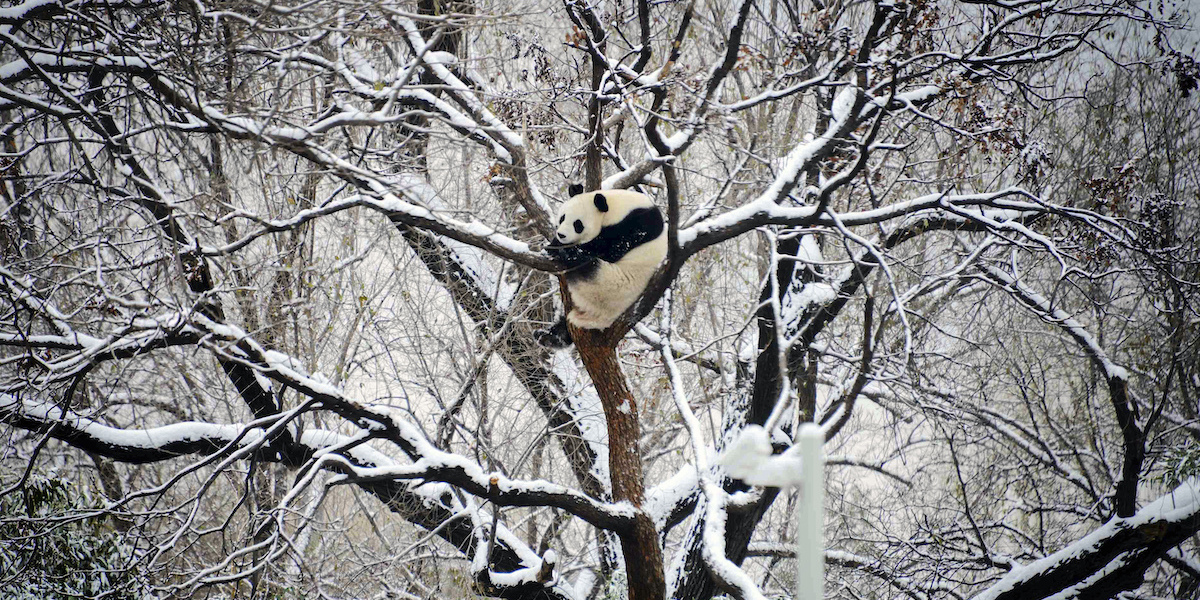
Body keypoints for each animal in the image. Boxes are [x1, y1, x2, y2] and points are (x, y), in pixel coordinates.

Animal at [542, 184, 672, 350]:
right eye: (562, 217)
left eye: (578, 224)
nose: (561, 234)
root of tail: (600, 318)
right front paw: (552, 245)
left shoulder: (637, 224)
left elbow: (610, 248)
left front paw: (565, 248)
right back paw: (550, 336)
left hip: (609, 285)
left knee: (587, 266)